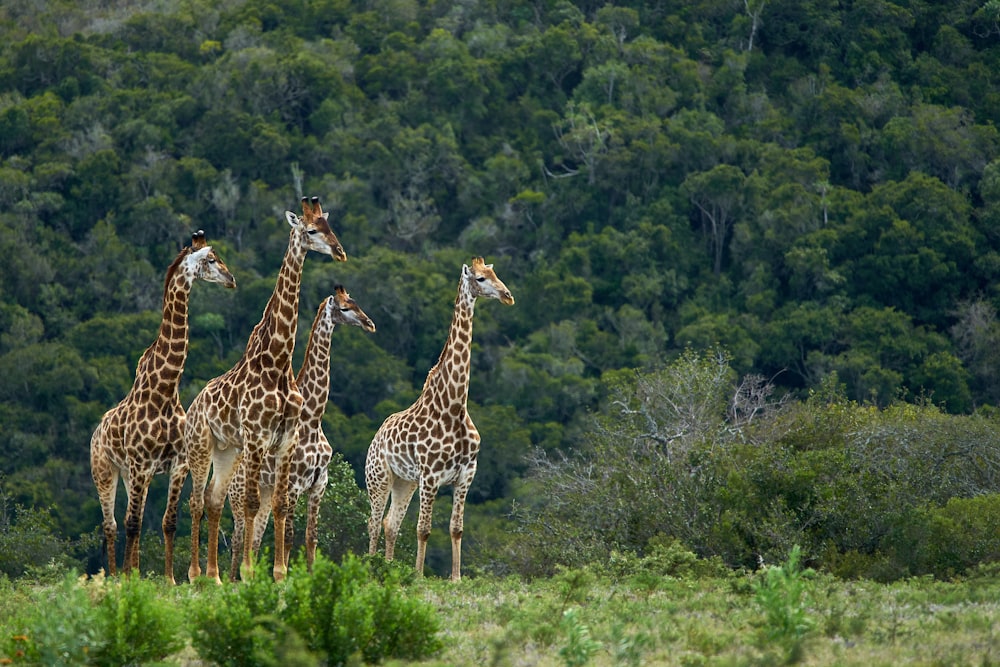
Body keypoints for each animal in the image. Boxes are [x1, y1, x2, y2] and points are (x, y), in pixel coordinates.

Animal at [89, 232, 236, 580]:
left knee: (127, 520)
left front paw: (168, 579)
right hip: (104, 470)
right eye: (212, 259)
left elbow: (167, 522)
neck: (166, 390)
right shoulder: (141, 464)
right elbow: (133, 524)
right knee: (111, 525)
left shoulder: (177, 464)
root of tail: (97, 431)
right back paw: (114, 576)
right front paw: (129, 580)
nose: (231, 280)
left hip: (127, 473)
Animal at [172, 197, 344, 584]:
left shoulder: (286, 440)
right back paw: (195, 574)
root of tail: (194, 404)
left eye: (331, 227)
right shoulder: (257, 437)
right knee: (197, 501)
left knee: (213, 500)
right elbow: (252, 505)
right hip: (202, 445)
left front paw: (279, 573)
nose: (340, 252)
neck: (277, 363)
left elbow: (278, 506)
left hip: (227, 450)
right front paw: (250, 573)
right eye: (312, 230)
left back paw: (214, 575)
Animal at [227, 286, 376, 580]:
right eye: (344, 308)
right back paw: (230, 579)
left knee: (255, 538)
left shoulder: (319, 484)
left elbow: (311, 536)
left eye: (356, 302)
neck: (313, 419)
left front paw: (310, 575)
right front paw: (285, 577)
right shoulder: (295, 484)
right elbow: (289, 535)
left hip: (264, 495)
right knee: (237, 540)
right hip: (238, 499)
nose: (369, 324)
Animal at [364, 258, 512, 580]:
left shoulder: (466, 473)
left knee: (390, 524)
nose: (507, 295)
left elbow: (456, 528)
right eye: (481, 279)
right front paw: (419, 576)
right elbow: (424, 529)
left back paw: (389, 569)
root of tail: (375, 437)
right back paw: (371, 569)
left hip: (404, 482)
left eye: (496, 274)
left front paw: (456, 578)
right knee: (373, 522)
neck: (453, 407)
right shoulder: (430, 475)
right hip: (379, 477)